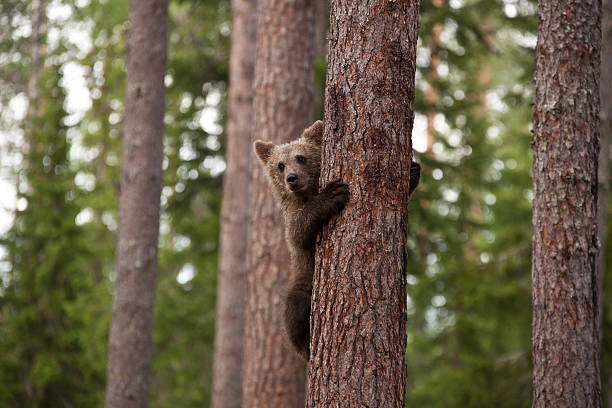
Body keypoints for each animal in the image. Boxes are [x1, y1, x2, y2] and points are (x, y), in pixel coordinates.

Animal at [253, 120, 420, 360]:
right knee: (294, 310)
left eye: (300, 157)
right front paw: (332, 194)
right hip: (303, 280)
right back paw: (307, 344)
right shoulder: (293, 218)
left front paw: (413, 171)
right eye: (280, 165)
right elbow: (297, 234)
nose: (292, 179)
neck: (307, 193)